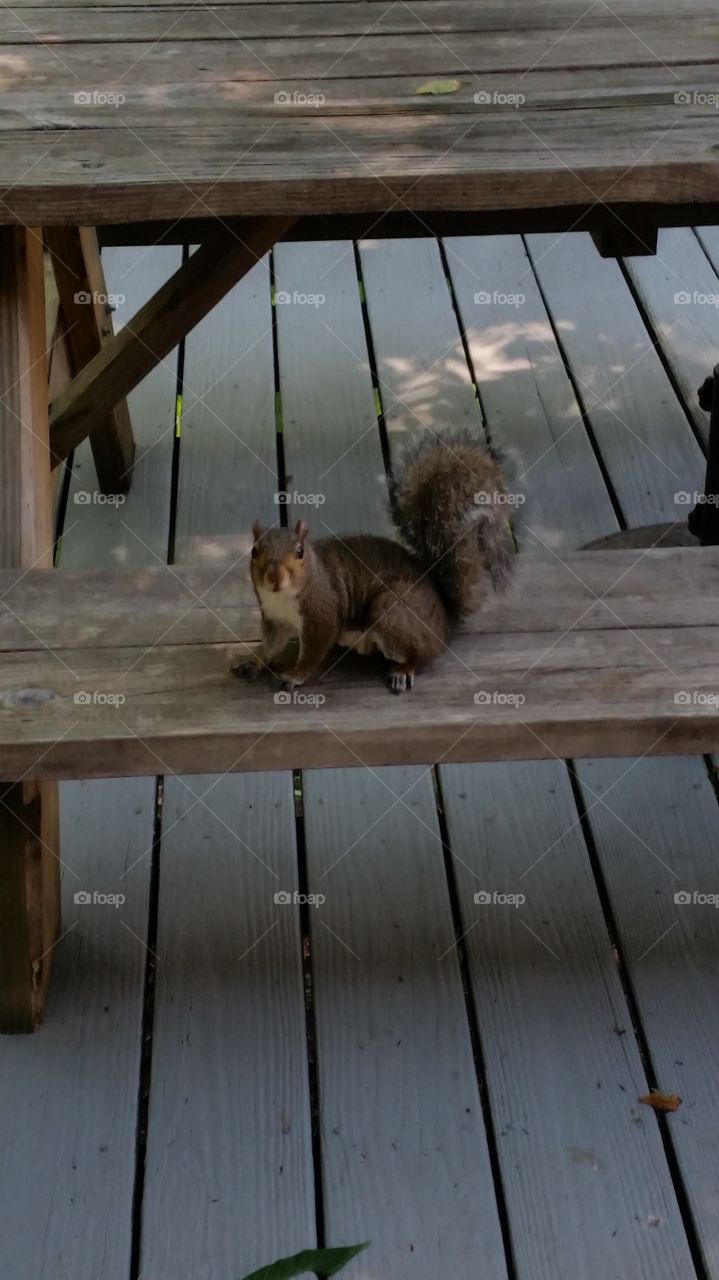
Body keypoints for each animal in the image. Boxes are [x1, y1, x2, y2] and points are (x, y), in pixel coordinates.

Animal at [238, 428, 515, 694]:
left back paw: (402, 670)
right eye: (254, 551)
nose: (274, 577)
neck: (284, 597)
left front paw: (294, 676)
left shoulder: (322, 616)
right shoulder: (274, 618)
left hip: (391, 611)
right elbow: (270, 647)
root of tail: (444, 620)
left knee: (421, 654)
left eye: (299, 552)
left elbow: (313, 653)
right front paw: (253, 663)